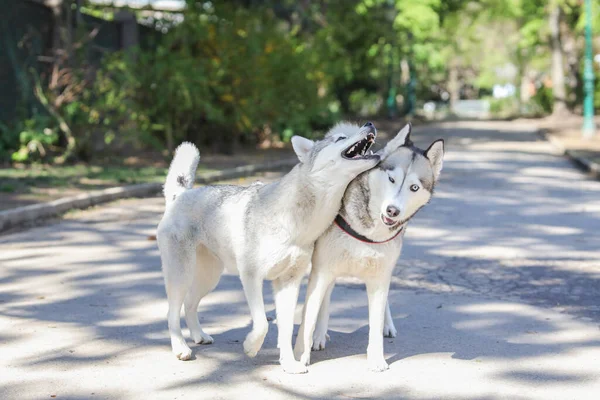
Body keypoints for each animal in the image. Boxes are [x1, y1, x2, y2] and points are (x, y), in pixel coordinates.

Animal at [156, 121, 380, 372]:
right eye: (340, 138)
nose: (369, 123)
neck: (296, 222)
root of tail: (180, 195)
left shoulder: (289, 282)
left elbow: (286, 329)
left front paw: (289, 364)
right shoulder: (251, 276)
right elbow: (262, 323)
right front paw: (251, 347)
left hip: (209, 277)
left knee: (189, 304)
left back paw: (198, 336)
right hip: (181, 275)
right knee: (172, 312)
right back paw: (181, 347)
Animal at [292, 124, 442, 372]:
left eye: (414, 187)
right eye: (391, 179)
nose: (393, 211)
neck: (368, 231)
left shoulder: (380, 276)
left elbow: (376, 319)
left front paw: (376, 358)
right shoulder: (323, 270)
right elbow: (311, 314)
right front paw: (300, 355)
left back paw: (387, 325)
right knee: (326, 296)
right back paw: (319, 335)